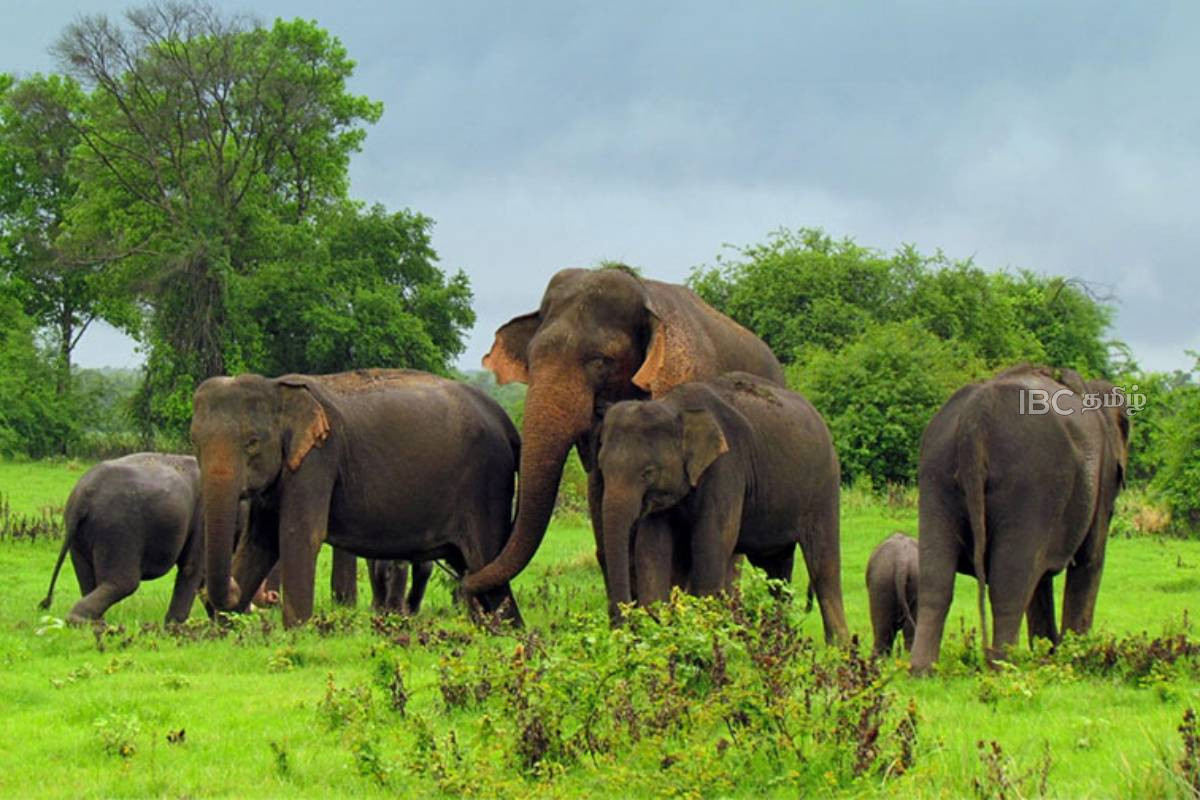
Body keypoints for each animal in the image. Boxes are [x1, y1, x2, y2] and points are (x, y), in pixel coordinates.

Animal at [39, 453, 205, 624]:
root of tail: (85, 493)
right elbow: (192, 567)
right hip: (119, 527)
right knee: (124, 583)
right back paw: (87, 622)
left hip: (80, 536)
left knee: (87, 579)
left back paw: (94, 624)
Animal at [190, 368, 522, 628]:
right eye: (195, 441)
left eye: (252, 442)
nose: (236, 592)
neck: (277, 387)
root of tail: (505, 419)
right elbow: (260, 541)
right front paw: (225, 629)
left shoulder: (319, 457)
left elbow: (300, 535)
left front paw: (296, 632)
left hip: (485, 487)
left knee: (486, 560)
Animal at [594, 372, 849, 642]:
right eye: (601, 467)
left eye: (648, 472)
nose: (622, 630)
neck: (674, 406)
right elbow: (652, 549)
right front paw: (661, 633)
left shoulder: (726, 467)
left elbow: (711, 542)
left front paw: (702, 636)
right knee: (775, 570)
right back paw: (779, 638)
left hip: (824, 486)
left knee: (824, 566)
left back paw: (838, 647)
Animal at [910, 365, 1130, 674]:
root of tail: (975, 418)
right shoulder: (1104, 474)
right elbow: (1090, 560)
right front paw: (1074, 658)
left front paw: (1050, 655)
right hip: (1029, 483)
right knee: (1009, 584)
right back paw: (1004, 667)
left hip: (935, 475)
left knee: (936, 580)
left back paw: (923, 671)